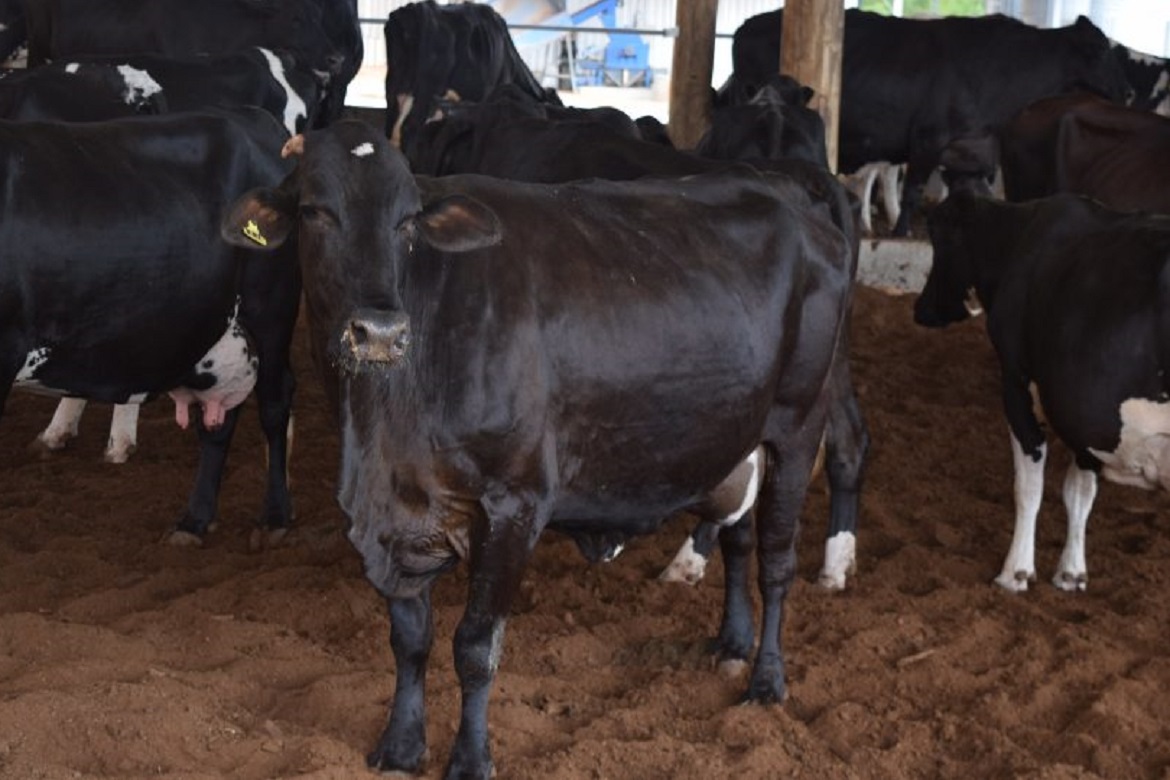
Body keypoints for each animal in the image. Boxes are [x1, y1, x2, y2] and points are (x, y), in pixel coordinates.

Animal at [1, 109, 301, 547]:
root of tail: (252, 118)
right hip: (215, 336)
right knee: (219, 417)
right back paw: (194, 520)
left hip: (271, 309)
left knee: (275, 402)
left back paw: (276, 516)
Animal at [223, 120, 856, 780]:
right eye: (315, 211)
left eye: (407, 220)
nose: (379, 332)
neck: (380, 426)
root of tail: (783, 186)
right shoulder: (396, 517)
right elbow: (410, 637)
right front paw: (399, 747)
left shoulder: (515, 503)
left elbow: (475, 646)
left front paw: (470, 760)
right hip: (736, 437)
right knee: (737, 536)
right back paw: (731, 644)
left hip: (798, 423)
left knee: (776, 560)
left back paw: (766, 678)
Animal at [725, 8, 1127, 235]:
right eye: (1100, 51)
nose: (1126, 92)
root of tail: (746, 25)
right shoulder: (927, 139)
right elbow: (914, 190)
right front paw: (901, 231)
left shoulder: (971, 153)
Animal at [912, 191, 1170, 594]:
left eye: (939, 238)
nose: (921, 308)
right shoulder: (1086, 416)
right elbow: (1079, 493)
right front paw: (1071, 572)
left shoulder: (1017, 387)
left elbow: (1029, 488)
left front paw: (1015, 572)